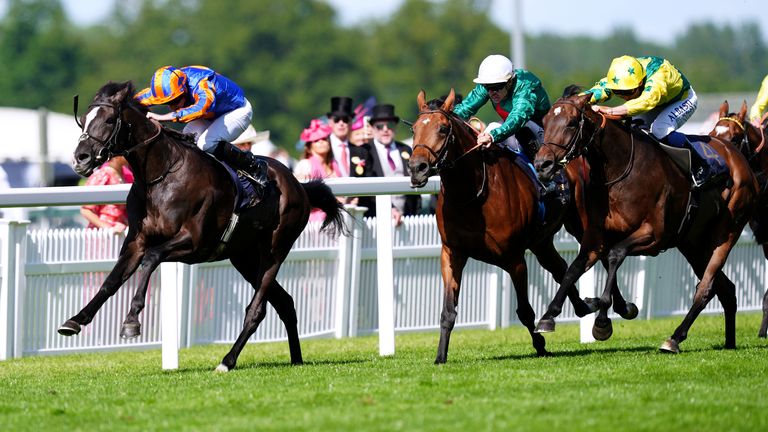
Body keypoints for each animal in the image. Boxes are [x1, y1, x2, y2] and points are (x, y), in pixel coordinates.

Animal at [58, 81, 346, 372]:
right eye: (84, 120)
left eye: (108, 120)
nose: (80, 158)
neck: (160, 175)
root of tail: (299, 185)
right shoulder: (136, 243)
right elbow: (111, 281)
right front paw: (75, 320)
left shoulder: (194, 243)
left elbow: (151, 258)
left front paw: (131, 320)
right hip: (245, 258)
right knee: (285, 303)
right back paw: (296, 359)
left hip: (274, 251)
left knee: (257, 310)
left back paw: (227, 361)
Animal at [404, 89, 596, 362]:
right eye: (414, 129)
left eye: (442, 128)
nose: (416, 169)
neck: (471, 196)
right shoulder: (452, 253)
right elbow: (448, 311)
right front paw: (440, 356)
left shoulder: (514, 258)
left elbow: (525, 311)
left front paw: (540, 344)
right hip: (541, 241)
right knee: (561, 267)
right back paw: (581, 306)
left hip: (581, 224)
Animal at [536, 91, 760, 352]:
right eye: (545, 122)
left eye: (571, 123)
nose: (542, 165)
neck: (619, 170)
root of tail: (740, 160)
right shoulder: (595, 237)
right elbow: (573, 269)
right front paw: (548, 316)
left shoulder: (653, 235)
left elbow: (615, 254)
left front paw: (603, 321)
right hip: (693, 244)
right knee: (725, 288)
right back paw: (729, 343)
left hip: (727, 232)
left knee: (705, 287)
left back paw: (674, 338)